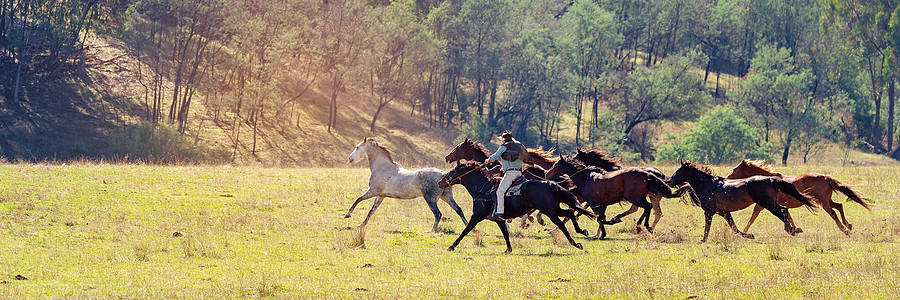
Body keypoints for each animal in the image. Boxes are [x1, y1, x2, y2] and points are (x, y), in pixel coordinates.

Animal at [438, 162, 596, 253]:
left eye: (452, 171)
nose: (440, 182)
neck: (483, 189)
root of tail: (550, 184)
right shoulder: (499, 219)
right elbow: (505, 233)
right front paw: (508, 249)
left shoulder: (477, 216)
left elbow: (465, 230)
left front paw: (451, 246)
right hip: (555, 209)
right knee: (570, 212)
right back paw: (582, 231)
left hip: (550, 211)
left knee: (562, 225)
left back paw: (575, 243)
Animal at [540, 157, 684, 239]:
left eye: (556, 164)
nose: (547, 174)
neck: (587, 179)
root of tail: (647, 174)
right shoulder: (602, 205)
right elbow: (601, 218)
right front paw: (601, 232)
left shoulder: (594, 204)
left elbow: (599, 218)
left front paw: (601, 233)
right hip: (638, 198)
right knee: (646, 209)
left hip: (635, 198)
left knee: (647, 207)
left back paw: (643, 225)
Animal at [672, 161, 820, 243]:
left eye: (678, 171)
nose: (669, 180)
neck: (708, 185)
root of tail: (771, 179)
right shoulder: (724, 212)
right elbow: (734, 228)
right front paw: (749, 235)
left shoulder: (709, 212)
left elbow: (708, 227)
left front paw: (702, 240)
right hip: (768, 203)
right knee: (784, 210)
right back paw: (794, 229)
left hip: (767, 203)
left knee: (782, 211)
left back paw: (792, 230)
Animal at [724, 161, 872, 236]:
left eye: (734, 169)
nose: (726, 178)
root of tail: (825, 177)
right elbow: (788, 216)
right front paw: (795, 229)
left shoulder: (762, 204)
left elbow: (752, 218)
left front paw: (743, 232)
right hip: (826, 201)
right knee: (839, 206)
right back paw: (848, 225)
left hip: (823, 202)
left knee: (834, 213)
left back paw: (845, 230)